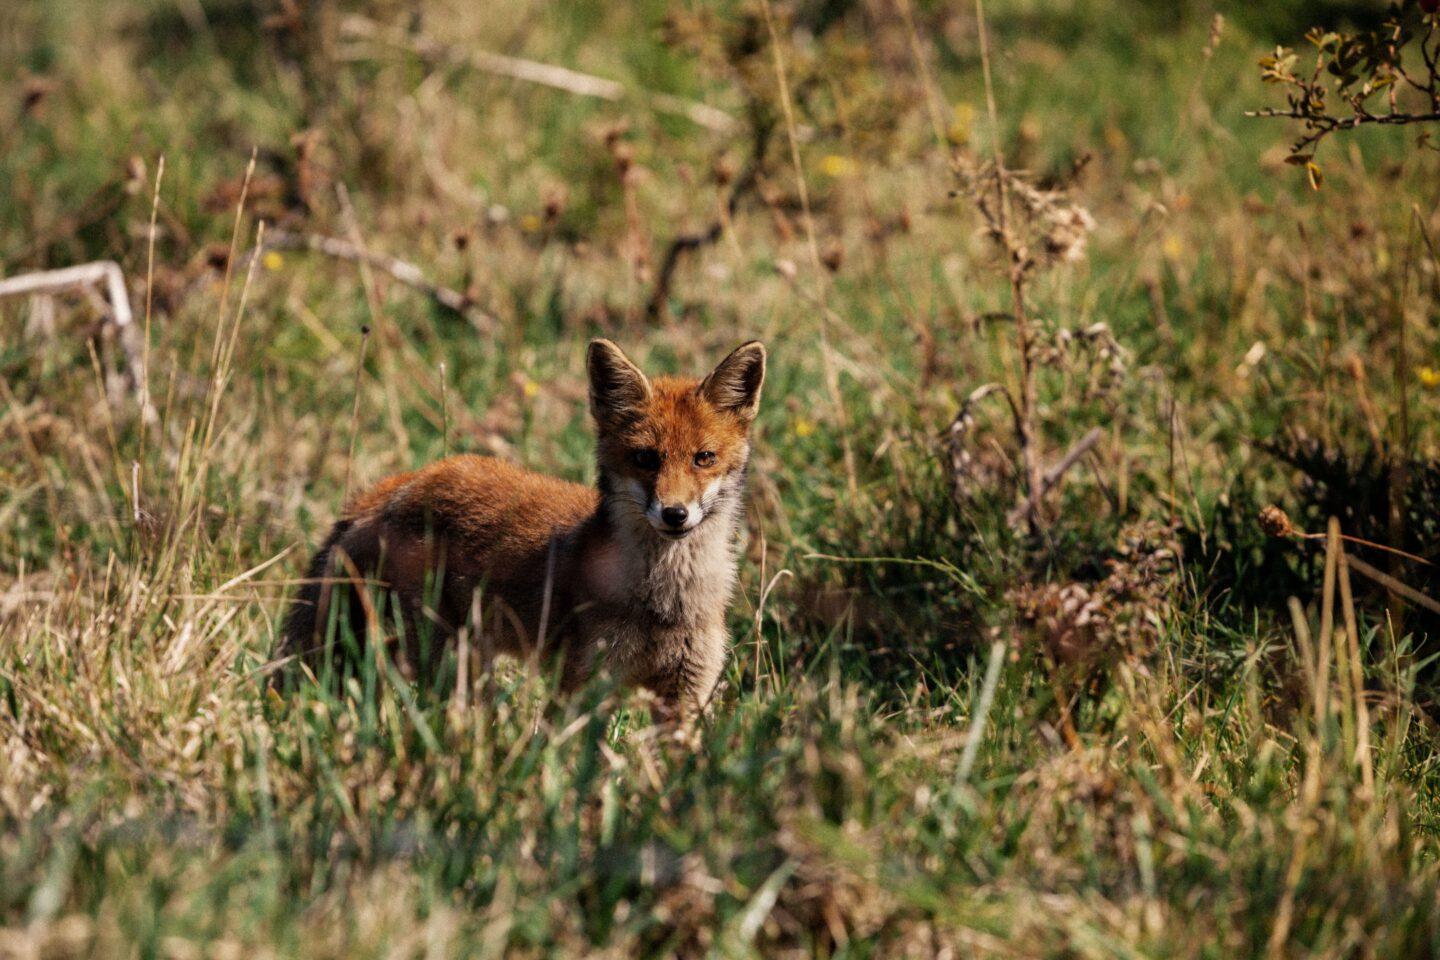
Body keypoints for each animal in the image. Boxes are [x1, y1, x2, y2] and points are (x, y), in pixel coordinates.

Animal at [278, 338, 766, 713]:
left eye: (704, 458)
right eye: (646, 458)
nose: (675, 514)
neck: (664, 602)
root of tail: (399, 483)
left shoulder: (687, 692)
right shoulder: (583, 683)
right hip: (445, 662)